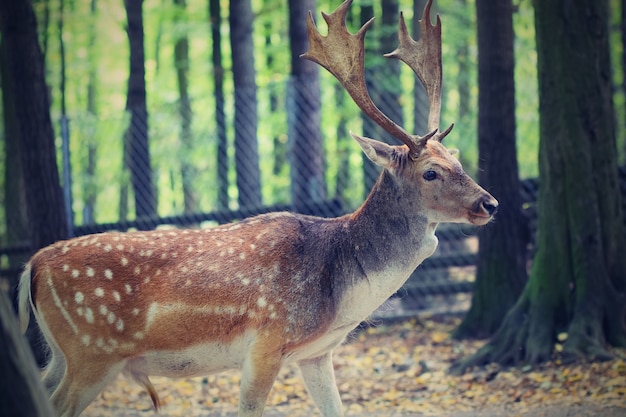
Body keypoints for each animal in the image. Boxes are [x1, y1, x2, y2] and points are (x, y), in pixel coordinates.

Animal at [17, 0, 498, 414]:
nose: (489, 203)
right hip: (92, 352)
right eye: (431, 172)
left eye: (457, 158)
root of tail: (31, 266)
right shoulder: (267, 342)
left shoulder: (315, 355)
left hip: (60, 355)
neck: (339, 296)